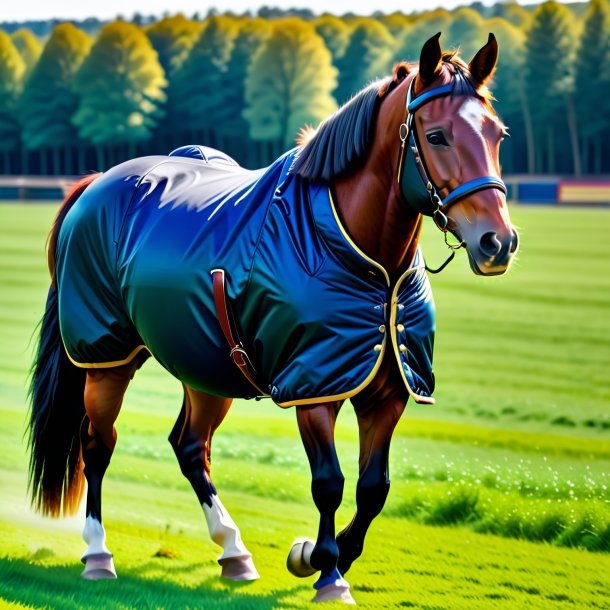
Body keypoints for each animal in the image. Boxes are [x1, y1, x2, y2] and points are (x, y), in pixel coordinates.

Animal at [27, 34, 512, 604]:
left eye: (497, 133)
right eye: (436, 135)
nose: (498, 241)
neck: (370, 263)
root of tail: (99, 181)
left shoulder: (388, 389)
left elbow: (374, 489)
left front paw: (325, 554)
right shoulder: (315, 386)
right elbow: (329, 483)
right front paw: (325, 570)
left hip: (203, 362)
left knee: (190, 447)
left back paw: (233, 550)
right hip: (107, 357)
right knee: (97, 445)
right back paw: (98, 554)